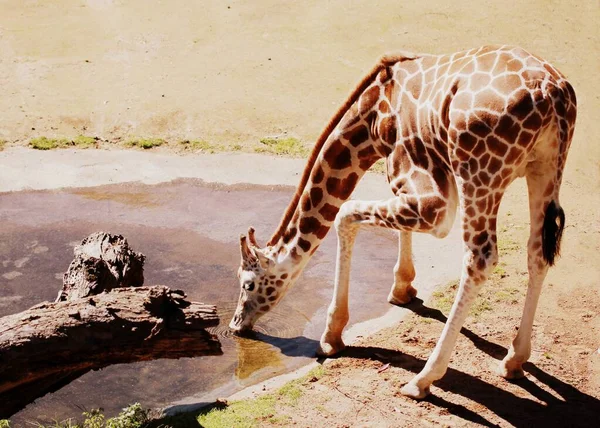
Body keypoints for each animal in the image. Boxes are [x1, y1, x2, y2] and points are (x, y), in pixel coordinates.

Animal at [227, 45, 576, 400]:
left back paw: (423, 379)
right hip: (546, 167)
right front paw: (403, 288)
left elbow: (344, 215)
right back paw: (514, 360)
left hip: (479, 172)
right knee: (537, 253)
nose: (236, 324)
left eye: (248, 283)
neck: (370, 117)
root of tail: (552, 93)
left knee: (480, 258)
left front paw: (331, 336)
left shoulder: (430, 196)